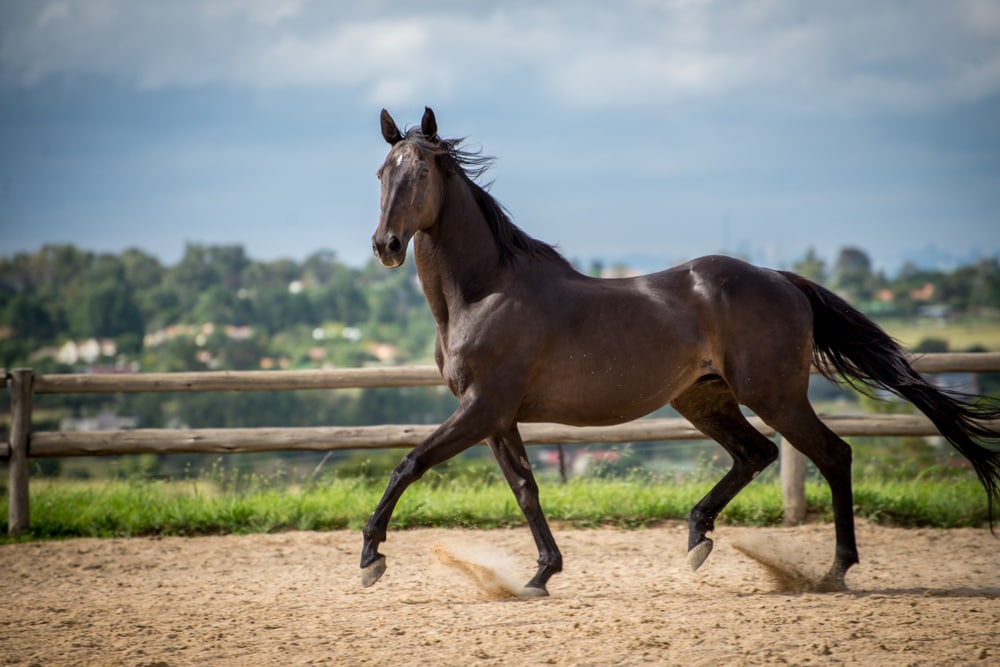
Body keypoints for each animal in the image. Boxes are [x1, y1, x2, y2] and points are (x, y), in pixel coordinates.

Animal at [363, 106, 1000, 596]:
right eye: (381, 173)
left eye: (421, 171)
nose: (386, 245)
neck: (484, 292)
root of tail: (781, 279)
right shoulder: (496, 416)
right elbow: (526, 489)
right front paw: (542, 574)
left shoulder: (482, 408)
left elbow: (408, 463)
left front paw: (371, 557)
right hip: (703, 398)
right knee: (758, 454)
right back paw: (699, 538)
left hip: (774, 395)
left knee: (831, 454)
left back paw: (835, 570)